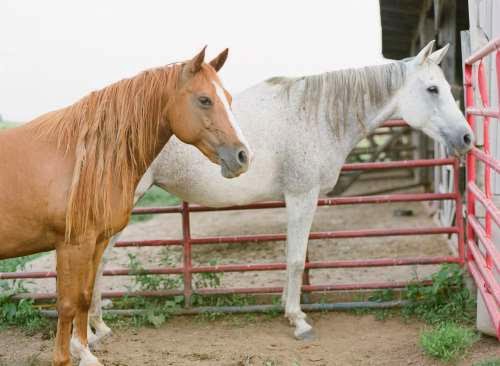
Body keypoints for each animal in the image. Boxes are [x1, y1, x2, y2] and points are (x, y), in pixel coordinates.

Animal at [0, 48, 250, 366]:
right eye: (205, 99)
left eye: (227, 98)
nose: (243, 156)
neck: (86, 157)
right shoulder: (72, 245)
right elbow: (67, 303)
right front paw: (64, 358)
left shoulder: (96, 241)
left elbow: (84, 296)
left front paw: (85, 352)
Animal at [84, 40, 470, 344]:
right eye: (432, 89)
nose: (467, 138)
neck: (316, 116)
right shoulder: (302, 195)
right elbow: (297, 259)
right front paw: (298, 320)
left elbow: (290, 257)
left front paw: (287, 306)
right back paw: (93, 329)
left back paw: (98, 327)